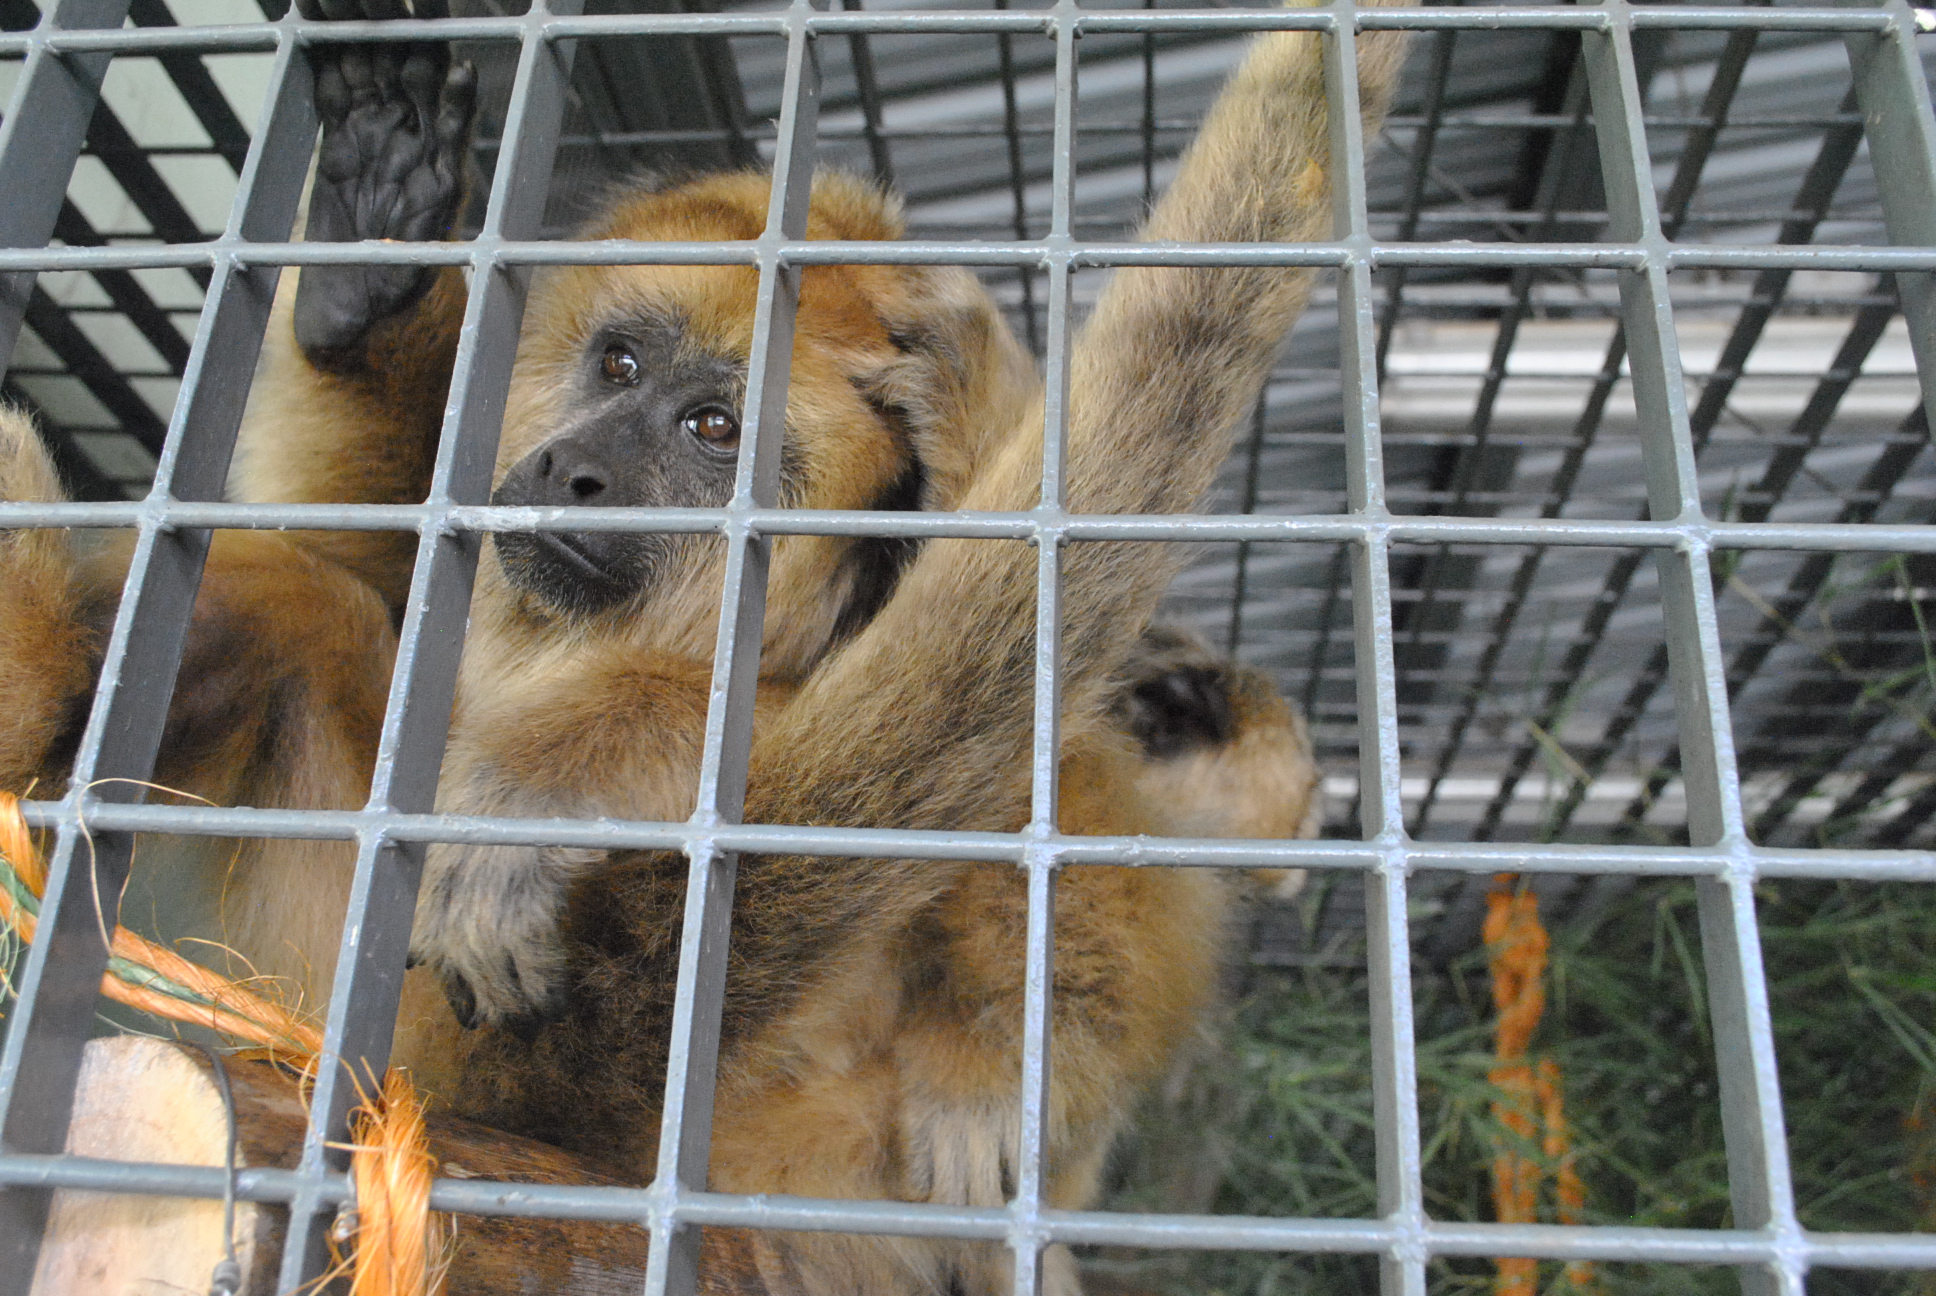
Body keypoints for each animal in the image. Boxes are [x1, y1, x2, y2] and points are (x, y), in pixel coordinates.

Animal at [0, 1, 1405, 1289]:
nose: (573, 470)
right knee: (310, 608)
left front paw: (546, 785)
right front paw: (369, 272)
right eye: (619, 364)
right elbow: (359, 548)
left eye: (712, 430)